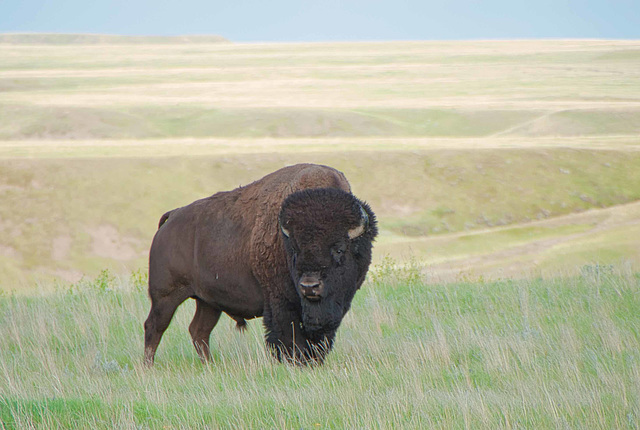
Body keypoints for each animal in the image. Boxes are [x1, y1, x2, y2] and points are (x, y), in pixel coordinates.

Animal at [142, 163, 378, 364]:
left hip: (208, 302)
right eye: (295, 249)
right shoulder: (281, 303)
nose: (309, 286)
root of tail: (171, 217)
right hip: (166, 296)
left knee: (199, 331)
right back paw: (148, 367)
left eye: (339, 248)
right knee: (154, 327)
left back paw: (210, 366)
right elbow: (289, 337)